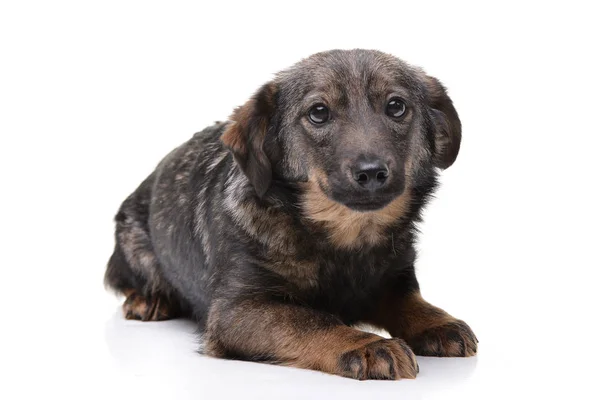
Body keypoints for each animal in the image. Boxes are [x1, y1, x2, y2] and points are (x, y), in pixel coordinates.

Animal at [104, 50, 478, 382]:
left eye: (396, 106)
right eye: (318, 113)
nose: (372, 172)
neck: (345, 239)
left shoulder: (394, 279)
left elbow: (410, 302)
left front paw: (435, 320)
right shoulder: (236, 311)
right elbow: (313, 320)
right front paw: (366, 343)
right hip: (135, 249)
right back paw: (148, 299)